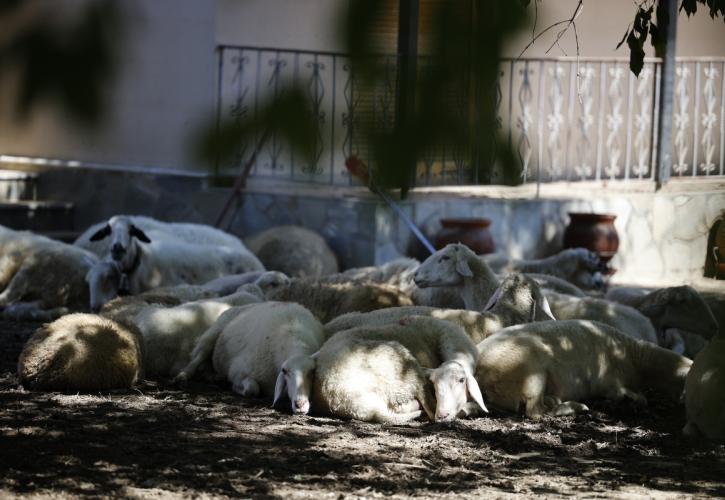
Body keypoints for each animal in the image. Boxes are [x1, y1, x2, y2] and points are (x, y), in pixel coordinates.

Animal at [174, 300, 324, 414]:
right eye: (285, 372)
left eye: (312, 372)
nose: (300, 404)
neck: (292, 330)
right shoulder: (237, 370)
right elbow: (252, 388)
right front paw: (236, 388)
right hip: (211, 335)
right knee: (196, 358)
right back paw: (182, 376)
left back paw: (214, 376)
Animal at [476, 320, 692, 418]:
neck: (636, 356)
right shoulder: (608, 381)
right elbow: (633, 396)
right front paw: (631, 398)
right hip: (530, 369)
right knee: (535, 412)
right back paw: (574, 407)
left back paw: (556, 399)